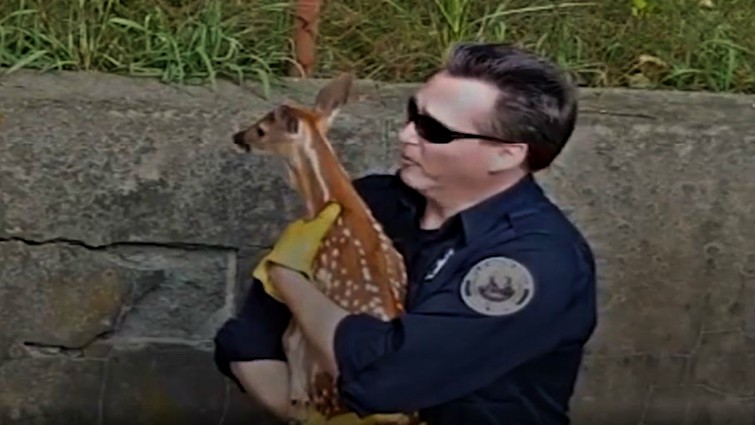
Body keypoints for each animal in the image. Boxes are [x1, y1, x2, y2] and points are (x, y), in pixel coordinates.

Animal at [231, 73, 420, 425]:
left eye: (262, 129)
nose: (238, 136)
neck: (328, 202)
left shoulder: (314, 276)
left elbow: (290, 338)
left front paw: (297, 397)